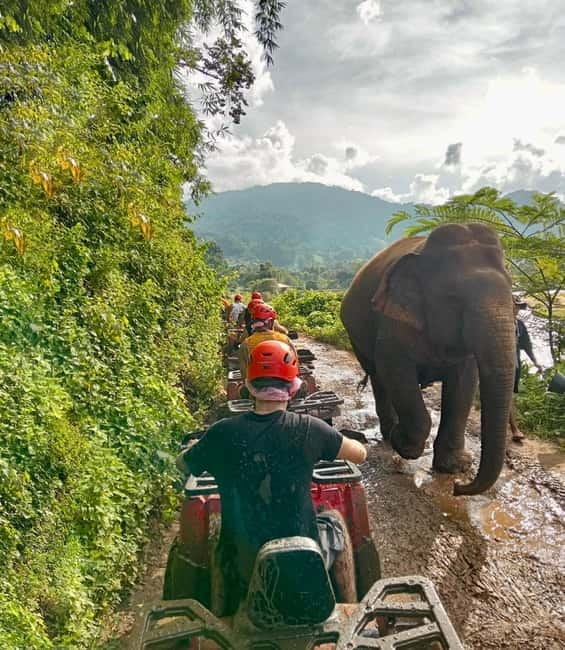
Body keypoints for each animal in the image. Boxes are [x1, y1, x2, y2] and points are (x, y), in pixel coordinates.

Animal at [340, 223, 515, 496]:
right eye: (453, 297)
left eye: (512, 292)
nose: (458, 488)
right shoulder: (393, 322)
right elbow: (395, 368)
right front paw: (404, 444)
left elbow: (464, 383)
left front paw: (454, 467)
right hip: (355, 335)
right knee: (380, 377)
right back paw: (390, 434)